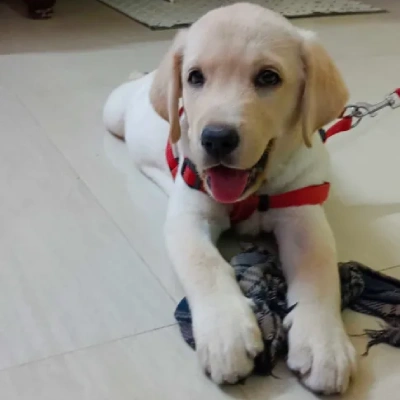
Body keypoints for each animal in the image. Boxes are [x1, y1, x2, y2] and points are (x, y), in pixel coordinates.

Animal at [103, 2, 356, 394]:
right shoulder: (189, 218)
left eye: (268, 77)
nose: (216, 139)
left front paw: (324, 343)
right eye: (195, 77)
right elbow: (205, 265)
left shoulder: (303, 213)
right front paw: (227, 336)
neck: (257, 189)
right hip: (113, 113)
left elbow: (319, 270)